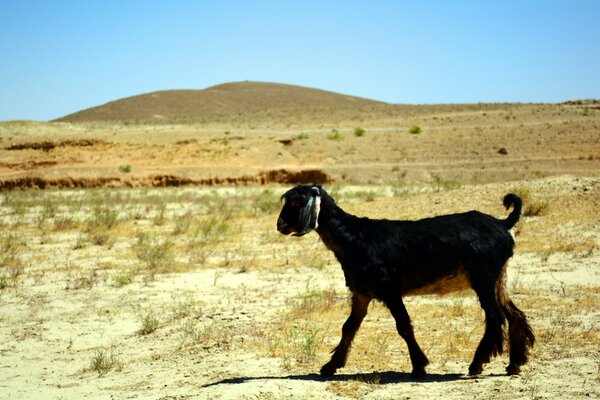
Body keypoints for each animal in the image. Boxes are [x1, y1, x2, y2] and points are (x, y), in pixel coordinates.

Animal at [276, 184, 536, 378]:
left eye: (296, 203)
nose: (280, 225)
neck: (354, 237)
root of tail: (503, 224)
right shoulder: (362, 292)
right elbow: (349, 326)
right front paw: (330, 366)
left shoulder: (389, 289)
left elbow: (403, 325)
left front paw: (419, 366)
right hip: (498, 278)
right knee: (515, 314)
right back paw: (514, 364)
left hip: (483, 277)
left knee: (495, 317)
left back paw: (476, 364)